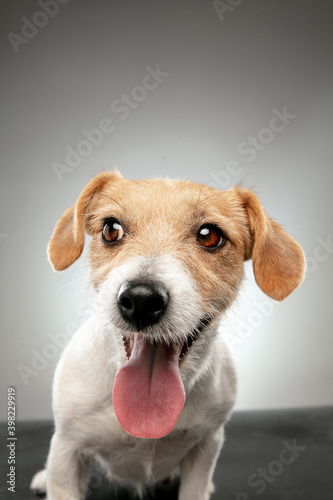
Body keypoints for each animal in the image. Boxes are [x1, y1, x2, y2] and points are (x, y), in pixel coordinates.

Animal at [29, 170, 304, 498]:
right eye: (111, 229)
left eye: (210, 235)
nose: (141, 300)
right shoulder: (67, 449)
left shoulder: (206, 446)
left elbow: (196, 486)